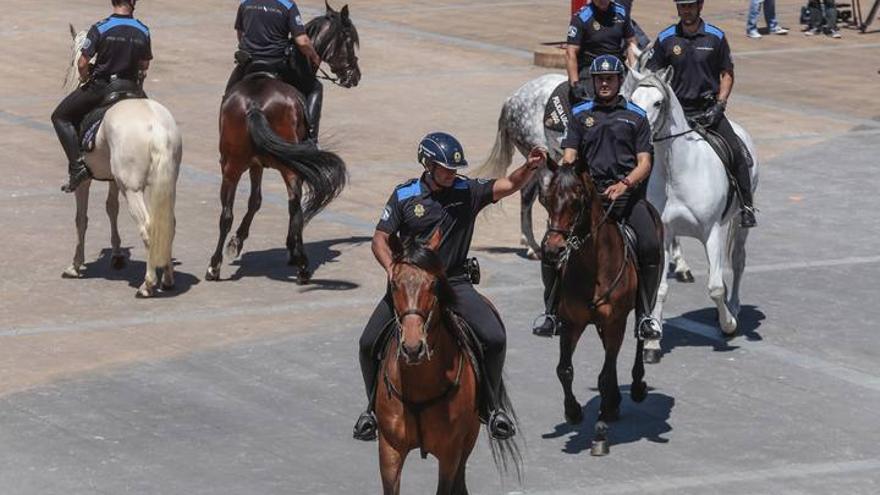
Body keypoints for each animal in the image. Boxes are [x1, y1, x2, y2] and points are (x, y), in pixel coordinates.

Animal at [61, 26, 181, 298]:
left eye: (72, 62)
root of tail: (157, 129)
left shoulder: (85, 182)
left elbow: (81, 219)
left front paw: (75, 264)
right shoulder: (113, 180)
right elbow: (111, 208)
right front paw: (116, 255)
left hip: (133, 189)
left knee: (148, 226)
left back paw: (147, 284)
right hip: (166, 184)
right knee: (167, 225)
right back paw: (168, 279)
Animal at [205, 2, 360, 282]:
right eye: (349, 40)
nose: (354, 76)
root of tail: (254, 104)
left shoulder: (255, 164)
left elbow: (254, 201)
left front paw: (238, 240)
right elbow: (279, 205)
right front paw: (289, 248)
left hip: (231, 166)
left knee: (226, 213)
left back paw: (214, 265)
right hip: (290, 168)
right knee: (294, 207)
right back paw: (301, 262)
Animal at [374, 232, 520, 495]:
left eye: (434, 284)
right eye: (394, 285)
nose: (413, 348)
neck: (418, 384)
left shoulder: (450, 452)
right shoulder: (389, 450)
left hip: (469, 436)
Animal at [540, 167, 648, 458]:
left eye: (577, 202)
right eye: (546, 200)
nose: (552, 250)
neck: (593, 267)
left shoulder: (615, 322)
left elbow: (604, 376)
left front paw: (599, 432)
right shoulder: (571, 322)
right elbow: (564, 369)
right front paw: (573, 412)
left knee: (640, 337)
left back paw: (635, 387)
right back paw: (614, 402)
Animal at [624, 68, 756, 340]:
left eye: (658, 102)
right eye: (633, 99)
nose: (638, 131)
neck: (677, 171)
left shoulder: (712, 232)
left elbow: (715, 287)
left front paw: (728, 324)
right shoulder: (664, 233)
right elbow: (661, 287)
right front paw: (654, 331)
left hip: (739, 222)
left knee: (738, 260)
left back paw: (734, 306)